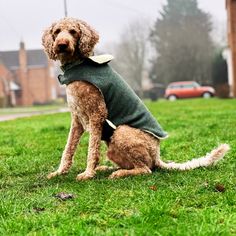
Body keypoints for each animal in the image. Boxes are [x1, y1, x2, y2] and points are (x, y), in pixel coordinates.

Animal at [41, 18, 230, 181]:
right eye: (57, 31)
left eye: (73, 31)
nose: (61, 45)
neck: (77, 65)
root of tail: (157, 155)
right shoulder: (77, 120)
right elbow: (68, 148)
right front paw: (59, 172)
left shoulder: (97, 115)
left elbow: (92, 149)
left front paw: (88, 174)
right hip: (113, 148)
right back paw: (107, 168)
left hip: (122, 132)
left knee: (145, 169)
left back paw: (118, 173)